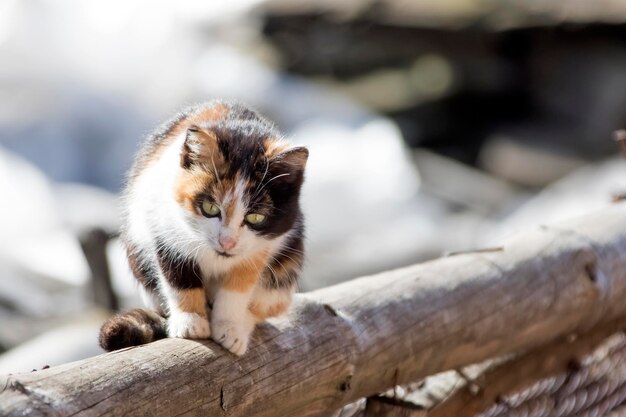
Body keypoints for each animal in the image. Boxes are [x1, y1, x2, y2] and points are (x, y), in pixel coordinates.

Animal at [97, 101, 308, 354]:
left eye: (256, 217)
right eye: (209, 207)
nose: (227, 242)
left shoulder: (261, 247)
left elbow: (238, 287)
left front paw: (229, 328)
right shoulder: (164, 228)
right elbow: (179, 279)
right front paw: (191, 323)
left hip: (287, 266)